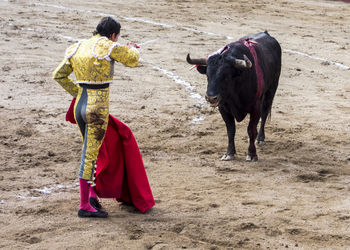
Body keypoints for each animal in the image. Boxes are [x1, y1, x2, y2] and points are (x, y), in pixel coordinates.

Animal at [186, 31, 282, 161]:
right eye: (207, 75)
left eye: (226, 76)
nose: (211, 98)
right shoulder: (223, 108)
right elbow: (231, 129)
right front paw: (229, 153)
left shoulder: (255, 107)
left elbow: (250, 129)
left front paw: (252, 154)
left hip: (271, 89)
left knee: (265, 113)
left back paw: (260, 138)